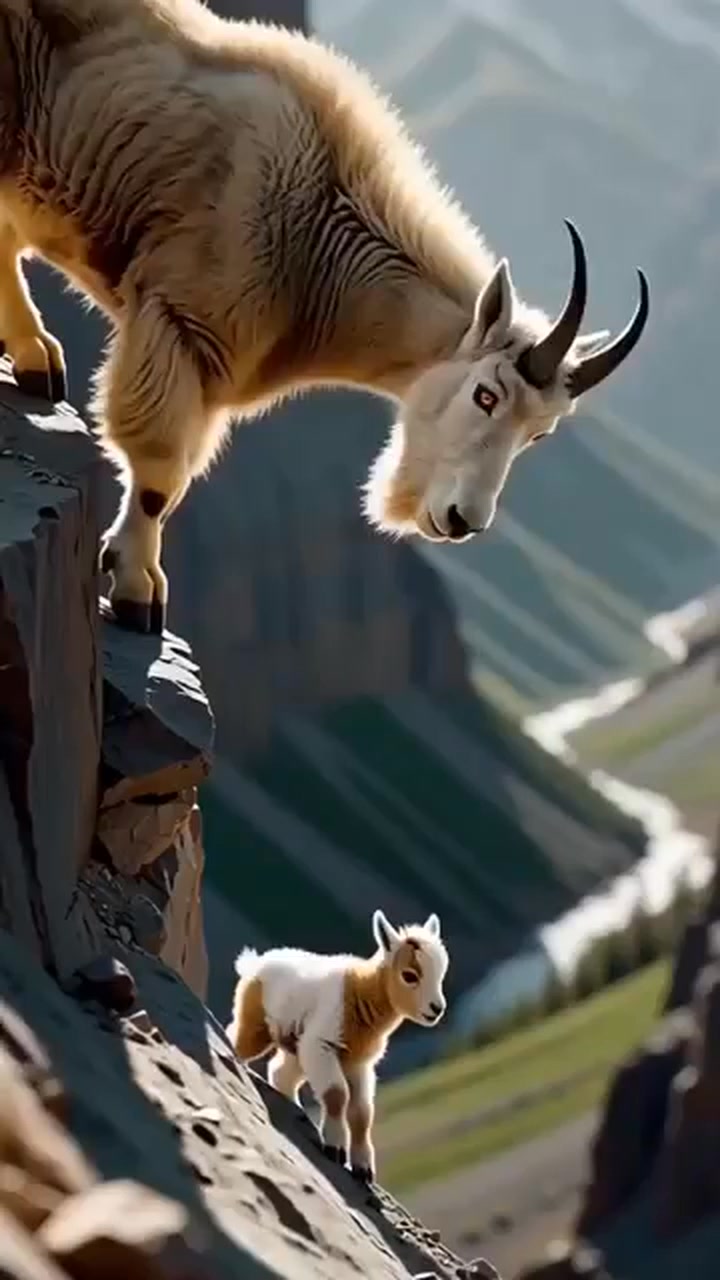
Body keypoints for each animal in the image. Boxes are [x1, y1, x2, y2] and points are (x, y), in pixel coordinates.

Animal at [0, 1, 649, 634]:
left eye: (539, 433)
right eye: (485, 395)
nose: (462, 519)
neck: (320, 237)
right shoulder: (178, 322)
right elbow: (163, 472)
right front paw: (138, 591)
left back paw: (36, 361)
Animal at [226, 908, 449, 1183]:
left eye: (441, 973)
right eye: (409, 975)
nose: (436, 1009)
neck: (360, 992)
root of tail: (254, 964)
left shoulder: (358, 1063)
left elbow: (362, 1113)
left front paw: (364, 1168)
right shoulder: (322, 1045)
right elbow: (337, 1095)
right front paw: (335, 1148)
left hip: (297, 1047)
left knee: (280, 1071)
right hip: (256, 1026)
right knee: (238, 1041)